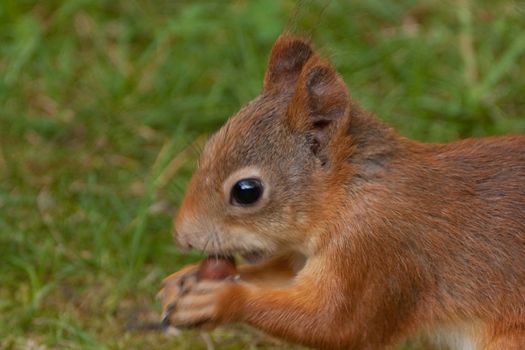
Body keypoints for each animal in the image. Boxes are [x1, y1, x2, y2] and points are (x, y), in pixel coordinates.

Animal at [157, 36, 524, 350]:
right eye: (208, 149)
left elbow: (339, 324)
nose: (181, 237)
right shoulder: (304, 256)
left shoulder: (376, 253)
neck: (350, 194)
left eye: (246, 192)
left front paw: (221, 301)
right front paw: (182, 281)